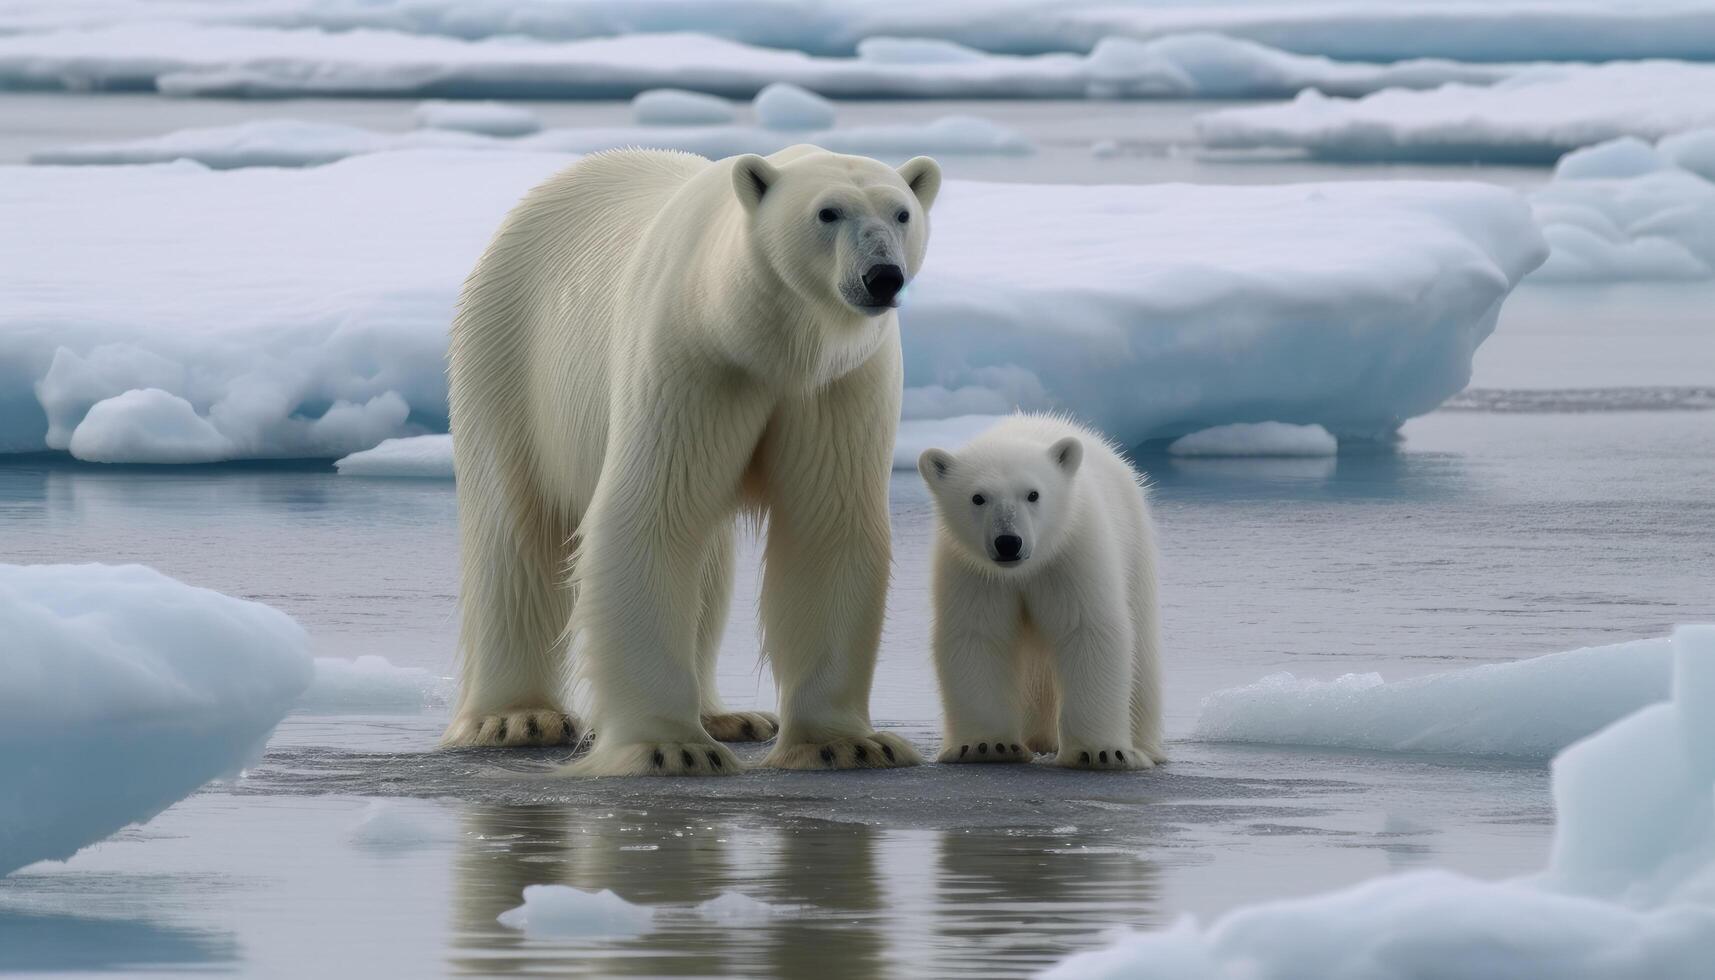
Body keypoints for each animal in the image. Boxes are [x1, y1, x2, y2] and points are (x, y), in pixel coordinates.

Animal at [442, 144, 939, 775]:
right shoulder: (691, 358)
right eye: (828, 212)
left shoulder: (839, 384)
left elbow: (829, 526)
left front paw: (848, 743)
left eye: (901, 213)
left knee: (708, 568)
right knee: (515, 534)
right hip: (508, 356)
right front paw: (669, 747)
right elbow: (653, 513)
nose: (882, 276)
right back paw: (516, 718)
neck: (763, 340)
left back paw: (729, 716)